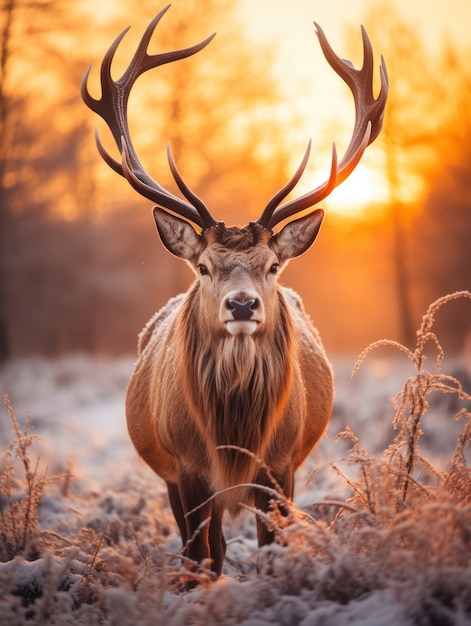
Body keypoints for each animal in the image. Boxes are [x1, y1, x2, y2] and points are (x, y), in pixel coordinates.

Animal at [81, 4, 390, 580]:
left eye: (272, 266)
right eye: (203, 266)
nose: (242, 303)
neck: (235, 439)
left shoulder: (281, 466)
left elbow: (272, 551)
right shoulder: (185, 469)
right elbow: (200, 558)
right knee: (209, 548)